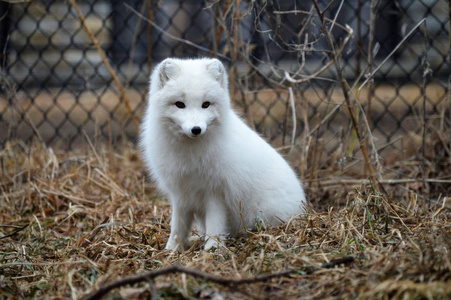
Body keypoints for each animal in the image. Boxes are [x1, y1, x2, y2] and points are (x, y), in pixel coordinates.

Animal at [139, 56, 308, 251]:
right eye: (179, 104)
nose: (196, 129)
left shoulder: (216, 192)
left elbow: (215, 225)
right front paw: (171, 250)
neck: (190, 153)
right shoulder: (181, 193)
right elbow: (177, 226)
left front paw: (212, 249)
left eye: (206, 104)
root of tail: (304, 209)